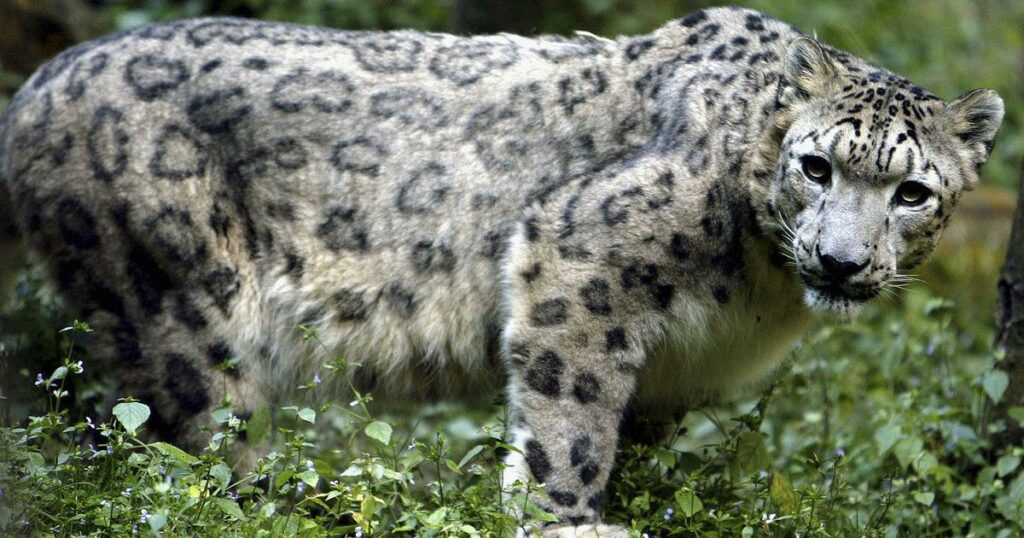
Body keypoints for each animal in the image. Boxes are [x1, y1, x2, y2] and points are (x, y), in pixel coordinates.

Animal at [0, 6, 1003, 536]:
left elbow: (629, 432)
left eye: (912, 192)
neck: (757, 298)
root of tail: (38, 84)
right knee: (195, 456)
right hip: (184, 309)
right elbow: (572, 423)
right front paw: (570, 518)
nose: (840, 260)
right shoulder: (579, 254)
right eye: (818, 166)